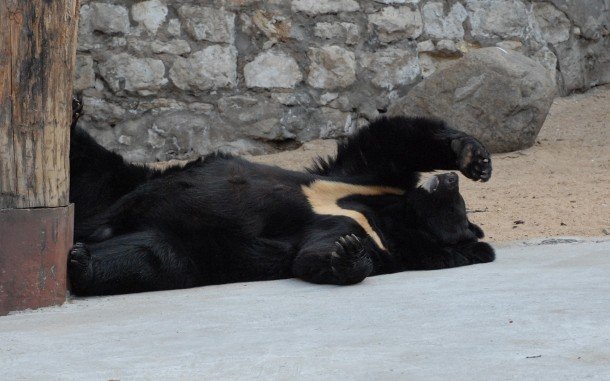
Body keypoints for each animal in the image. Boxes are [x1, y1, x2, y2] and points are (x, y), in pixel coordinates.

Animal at [69, 102, 492, 296]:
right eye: (458, 204)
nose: (450, 180)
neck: (386, 216)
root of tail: (102, 225)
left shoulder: (375, 236)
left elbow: (313, 255)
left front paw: (348, 253)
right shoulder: (355, 180)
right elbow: (388, 142)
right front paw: (474, 156)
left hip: (190, 246)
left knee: (149, 258)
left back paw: (80, 262)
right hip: (119, 185)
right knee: (86, 160)